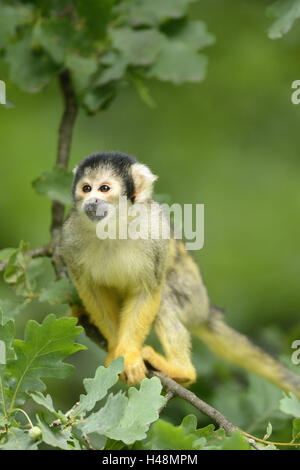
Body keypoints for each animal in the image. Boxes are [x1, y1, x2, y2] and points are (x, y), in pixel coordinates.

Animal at [61, 151, 300, 396]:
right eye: (86, 188)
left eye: (105, 188)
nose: (92, 201)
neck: (113, 227)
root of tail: (207, 311)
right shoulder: (69, 237)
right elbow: (93, 292)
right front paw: (116, 352)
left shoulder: (155, 234)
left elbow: (148, 292)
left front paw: (127, 354)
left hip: (193, 296)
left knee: (165, 295)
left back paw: (182, 370)